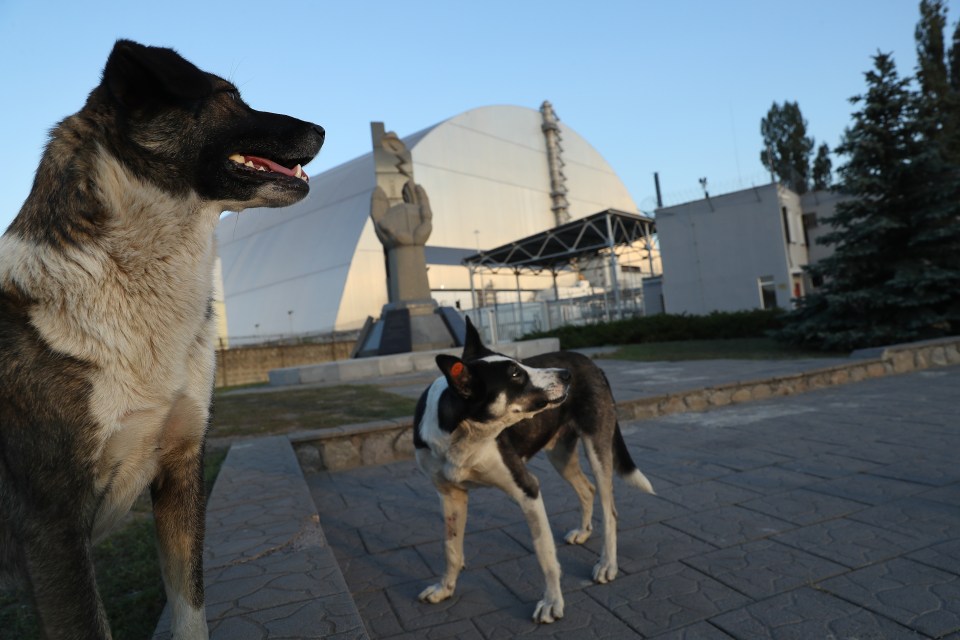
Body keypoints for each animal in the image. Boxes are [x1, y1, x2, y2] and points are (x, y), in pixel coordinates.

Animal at [412, 320, 652, 624]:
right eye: (515, 374)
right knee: (587, 489)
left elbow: (545, 554)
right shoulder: (450, 495)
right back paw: (583, 531)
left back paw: (607, 563)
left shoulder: (528, 489)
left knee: (610, 509)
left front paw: (552, 602)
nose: (566, 375)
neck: (463, 433)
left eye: (519, 364)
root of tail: (590, 362)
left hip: (597, 447)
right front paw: (445, 588)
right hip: (560, 454)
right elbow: (451, 548)